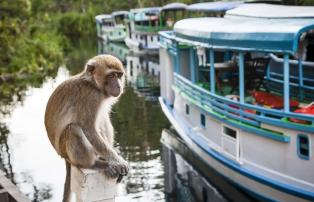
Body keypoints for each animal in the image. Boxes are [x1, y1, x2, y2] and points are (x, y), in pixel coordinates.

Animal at [43, 54, 128, 201]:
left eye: (119, 75)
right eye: (111, 75)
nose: (118, 85)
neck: (93, 84)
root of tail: (64, 157)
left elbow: (101, 122)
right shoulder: (91, 97)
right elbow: (89, 129)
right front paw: (118, 162)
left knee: (103, 119)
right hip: (66, 150)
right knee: (73, 129)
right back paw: (93, 164)